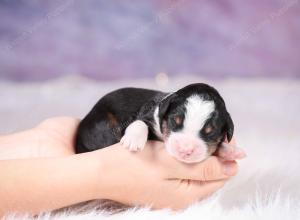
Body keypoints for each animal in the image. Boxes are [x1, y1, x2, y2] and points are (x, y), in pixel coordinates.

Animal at [74, 83, 244, 162]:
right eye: (175, 121)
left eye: (210, 132)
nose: (185, 150)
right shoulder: (144, 113)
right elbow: (140, 123)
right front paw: (133, 140)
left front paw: (231, 151)